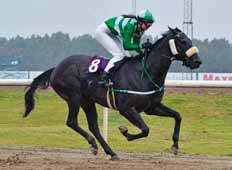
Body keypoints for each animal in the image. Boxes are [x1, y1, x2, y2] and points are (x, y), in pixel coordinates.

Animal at [23, 27, 201, 160]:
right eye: (183, 41)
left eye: (190, 40)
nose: (197, 61)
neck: (144, 73)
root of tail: (56, 68)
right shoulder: (126, 108)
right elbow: (145, 130)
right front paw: (125, 132)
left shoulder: (152, 107)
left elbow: (177, 116)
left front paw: (175, 146)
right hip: (74, 97)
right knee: (72, 122)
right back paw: (95, 144)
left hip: (88, 100)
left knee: (93, 126)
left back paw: (109, 151)